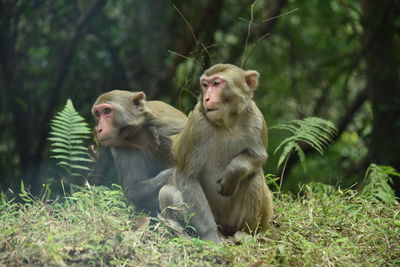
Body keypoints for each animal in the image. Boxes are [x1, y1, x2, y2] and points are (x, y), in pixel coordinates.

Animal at [158, 64, 274, 243]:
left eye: (217, 83)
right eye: (205, 85)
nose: (206, 98)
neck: (228, 124)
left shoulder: (256, 119)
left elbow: (258, 156)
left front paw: (234, 171)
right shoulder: (197, 125)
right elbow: (187, 177)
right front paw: (210, 235)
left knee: (253, 176)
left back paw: (244, 233)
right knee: (168, 192)